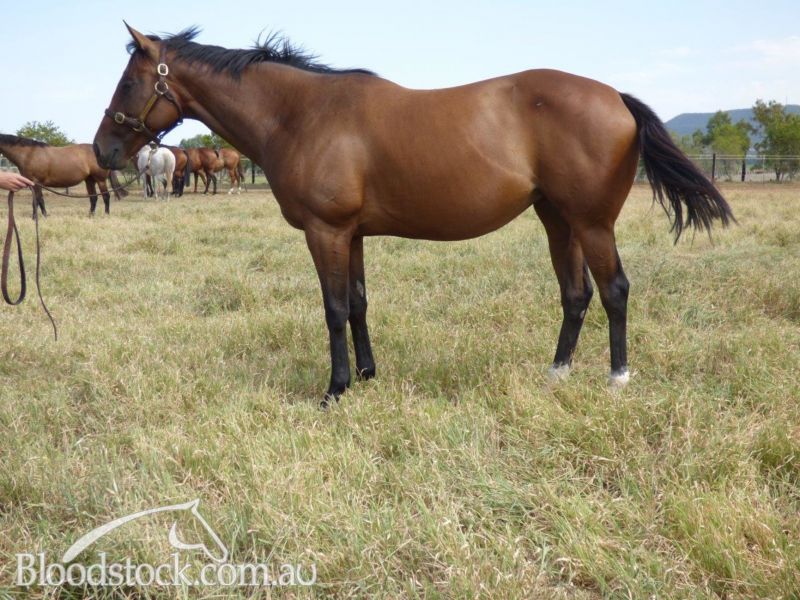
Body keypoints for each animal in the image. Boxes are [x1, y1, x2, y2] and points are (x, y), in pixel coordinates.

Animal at [94, 25, 734, 405]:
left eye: (128, 81)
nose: (103, 150)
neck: (301, 114)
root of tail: (615, 97)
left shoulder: (326, 233)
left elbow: (332, 310)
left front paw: (335, 390)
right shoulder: (350, 235)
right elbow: (357, 303)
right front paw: (367, 376)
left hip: (593, 223)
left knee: (615, 290)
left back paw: (617, 378)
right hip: (558, 220)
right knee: (575, 294)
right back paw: (557, 373)